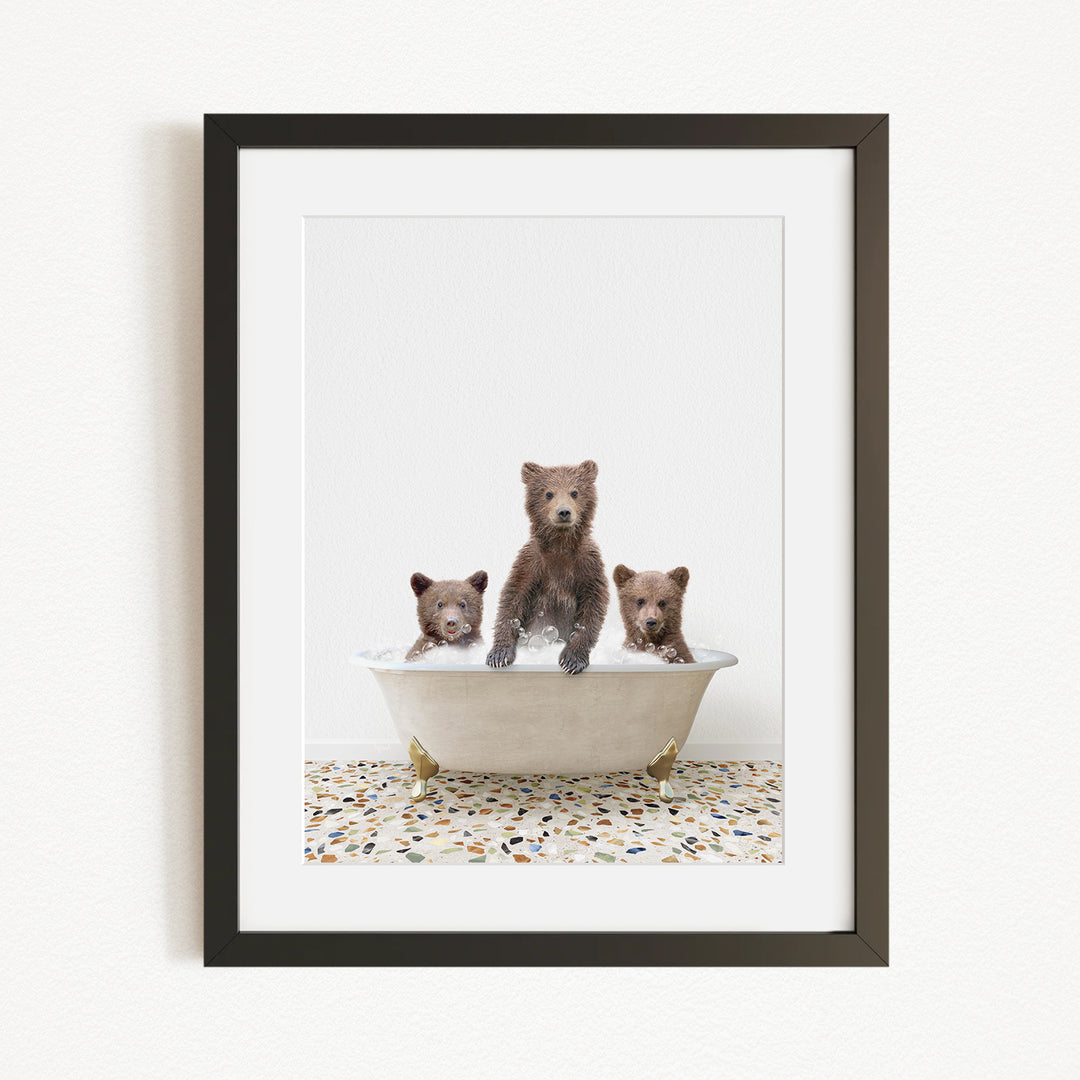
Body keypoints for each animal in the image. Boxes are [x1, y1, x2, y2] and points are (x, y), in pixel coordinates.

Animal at [486, 460, 609, 675]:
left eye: (574, 492)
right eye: (548, 493)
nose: (564, 512)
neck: (560, 545)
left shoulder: (588, 564)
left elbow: (592, 606)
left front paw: (571, 660)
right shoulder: (531, 562)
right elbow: (513, 599)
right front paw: (499, 655)